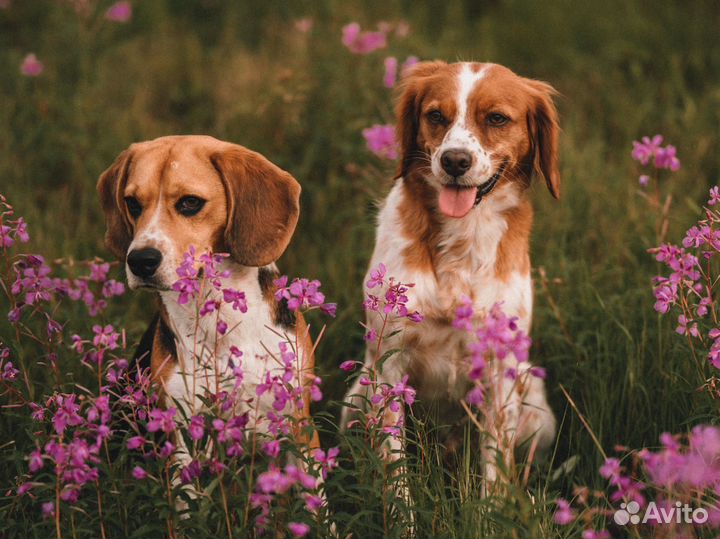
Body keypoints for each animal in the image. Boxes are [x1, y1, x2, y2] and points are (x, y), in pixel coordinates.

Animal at [344, 61, 564, 488]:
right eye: (435, 116)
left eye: (497, 118)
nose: (455, 161)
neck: (463, 238)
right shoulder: (389, 365)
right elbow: (397, 474)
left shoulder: (498, 371)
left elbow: (494, 471)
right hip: (355, 399)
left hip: (537, 412)